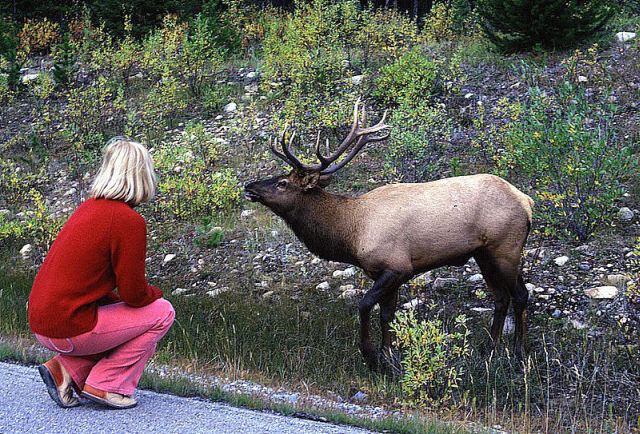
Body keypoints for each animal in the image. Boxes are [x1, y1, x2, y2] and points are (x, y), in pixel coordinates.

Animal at [245, 101, 536, 370]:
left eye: (282, 183)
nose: (249, 186)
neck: (351, 232)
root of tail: (526, 202)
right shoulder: (383, 272)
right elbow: (388, 314)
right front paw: (389, 357)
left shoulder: (397, 266)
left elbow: (365, 305)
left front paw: (371, 356)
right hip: (483, 254)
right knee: (501, 297)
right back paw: (489, 349)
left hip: (506, 248)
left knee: (520, 294)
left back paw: (519, 353)